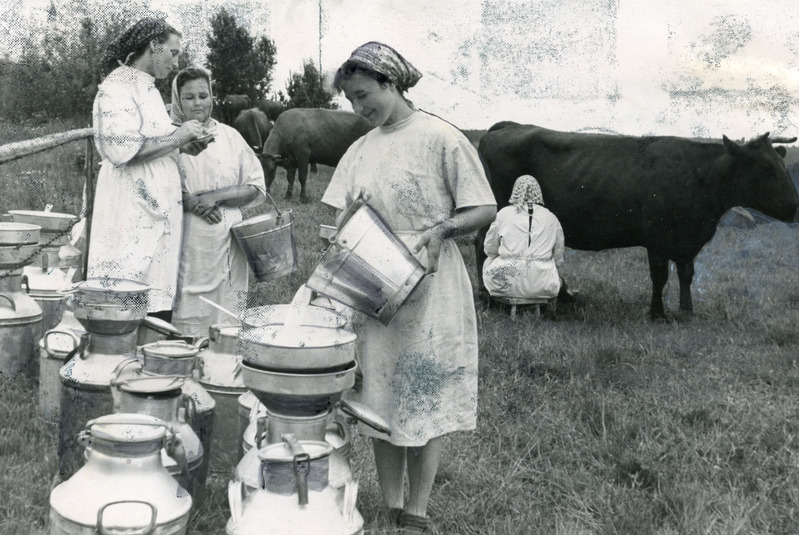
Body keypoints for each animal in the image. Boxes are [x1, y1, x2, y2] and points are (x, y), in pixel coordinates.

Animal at [478, 123, 796, 320]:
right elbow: (660, 276)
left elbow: (686, 274)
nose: (794, 206)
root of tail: (510, 125)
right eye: (766, 168)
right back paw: (488, 298)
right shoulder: (657, 239)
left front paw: (687, 311)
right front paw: (658, 313)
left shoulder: (687, 240)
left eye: (782, 165)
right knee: (483, 249)